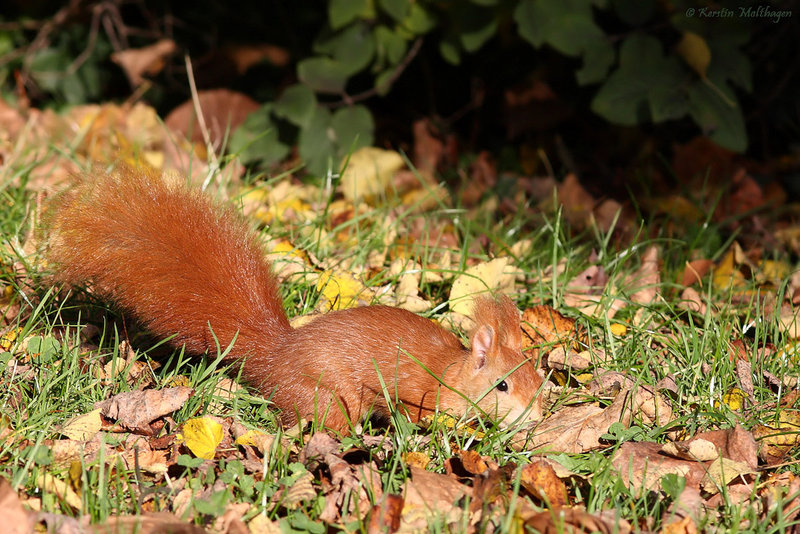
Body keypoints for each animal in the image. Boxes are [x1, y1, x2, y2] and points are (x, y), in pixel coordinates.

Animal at [45, 165, 544, 434]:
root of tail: (278, 356)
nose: (536, 417)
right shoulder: (419, 394)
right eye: (502, 386)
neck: (453, 374)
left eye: (539, 379)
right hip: (328, 395)